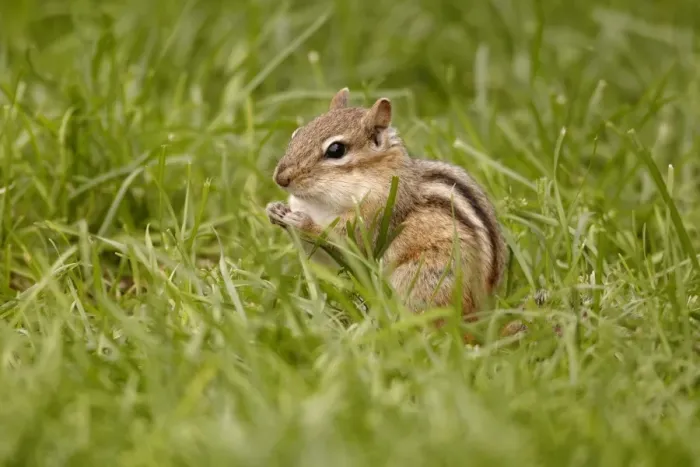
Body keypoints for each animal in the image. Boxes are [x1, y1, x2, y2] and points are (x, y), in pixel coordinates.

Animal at [266, 87, 508, 332]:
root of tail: (483, 313)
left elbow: (345, 245)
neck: (319, 203)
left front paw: (302, 223)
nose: (281, 178)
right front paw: (275, 210)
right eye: (296, 134)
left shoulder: (373, 216)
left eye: (336, 150)